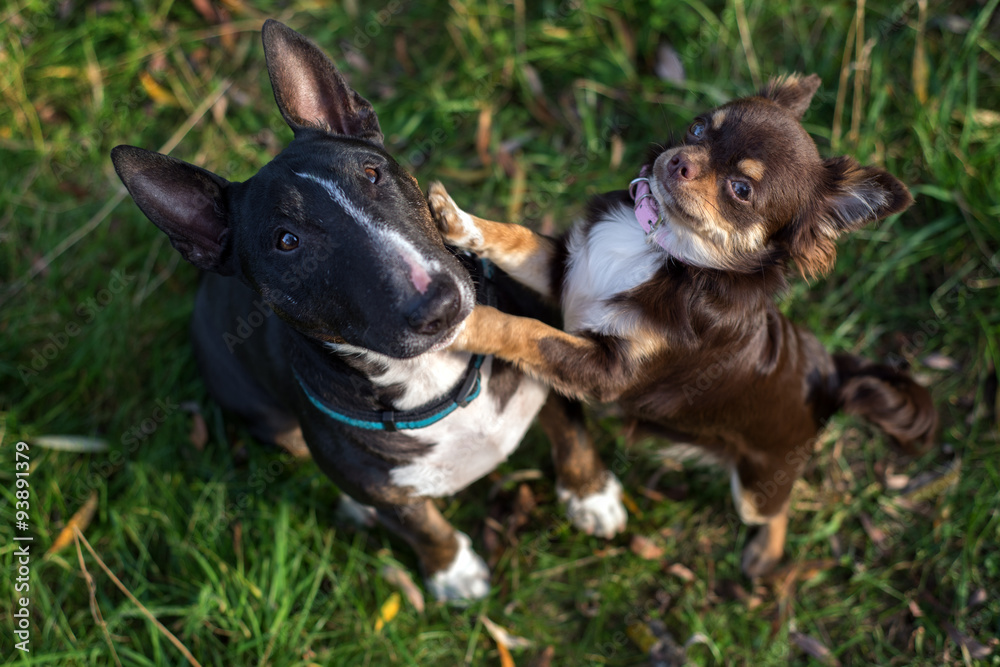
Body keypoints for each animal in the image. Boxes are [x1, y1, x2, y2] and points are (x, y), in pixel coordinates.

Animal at [428, 72, 936, 576]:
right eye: (697, 129)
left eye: (741, 190)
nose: (680, 162)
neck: (663, 244)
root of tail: (830, 378)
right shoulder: (567, 273)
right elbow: (517, 238)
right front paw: (457, 220)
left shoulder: (605, 372)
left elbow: (526, 330)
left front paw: (466, 322)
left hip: (758, 485)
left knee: (775, 511)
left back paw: (763, 555)